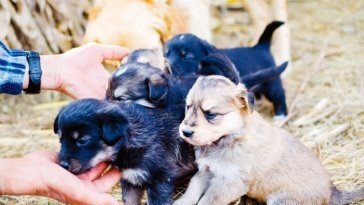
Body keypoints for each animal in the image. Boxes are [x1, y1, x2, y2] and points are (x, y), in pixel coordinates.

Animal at [54, 98, 196, 204]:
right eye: (60, 139)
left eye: (82, 141)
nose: (63, 165)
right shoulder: (130, 180)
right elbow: (129, 201)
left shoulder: (161, 179)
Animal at [174, 75, 364, 205]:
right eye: (187, 107)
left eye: (211, 114)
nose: (185, 132)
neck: (230, 137)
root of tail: (331, 192)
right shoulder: (205, 171)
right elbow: (191, 190)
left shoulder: (230, 183)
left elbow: (206, 200)